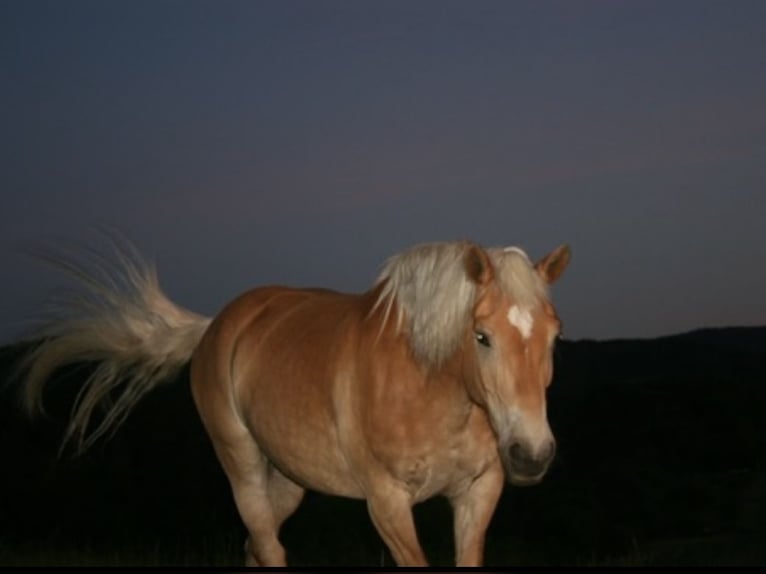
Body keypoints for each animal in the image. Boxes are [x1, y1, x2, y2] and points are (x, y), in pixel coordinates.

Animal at [19, 237, 568, 568]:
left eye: (554, 335)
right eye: (481, 336)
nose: (531, 454)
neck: (429, 389)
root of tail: (217, 325)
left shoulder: (479, 492)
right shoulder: (387, 503)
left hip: (288, 480)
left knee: (255, 544)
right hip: (241, 464)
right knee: (267, 545)